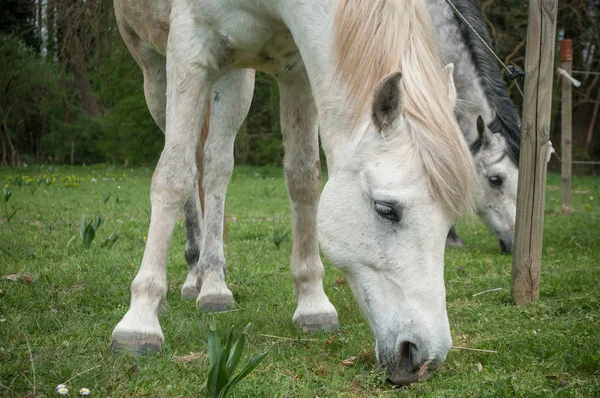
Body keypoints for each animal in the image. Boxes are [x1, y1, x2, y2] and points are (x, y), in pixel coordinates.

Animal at [111, 0, 474, 386]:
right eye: (386, 209)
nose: (424, 358)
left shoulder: (298, 69)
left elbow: (304, 179)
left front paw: (313, 304)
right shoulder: (188, 52)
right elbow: (172, 177)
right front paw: (139, 321)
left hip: (235, 77)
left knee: (215, 164)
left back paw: (211, 285)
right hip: (155, 69)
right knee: (189, 165)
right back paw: (195, 273)